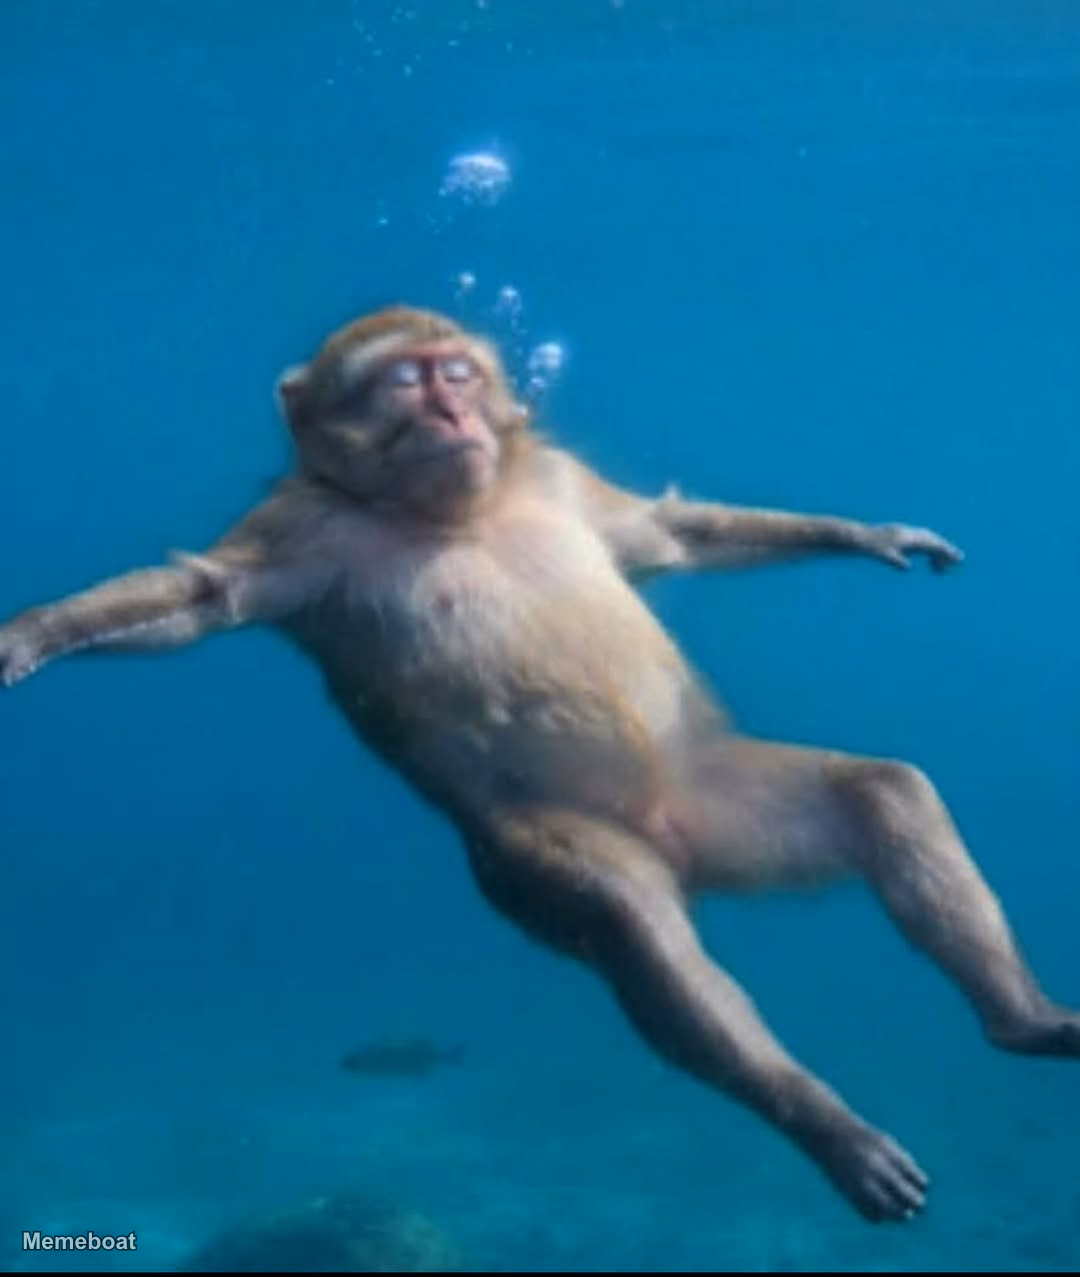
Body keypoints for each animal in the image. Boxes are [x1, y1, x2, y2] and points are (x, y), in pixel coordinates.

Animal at [1, 303, 1077, 1225]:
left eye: (457, 373)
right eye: (402, 380)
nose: (450, 410)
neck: (454, 511)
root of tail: (678, 838)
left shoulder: (554, 476)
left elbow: (668, 533)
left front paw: (872, 535)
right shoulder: (297, 530)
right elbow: (198, 598)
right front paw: (34, 632)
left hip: (713, 793)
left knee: (882, 790)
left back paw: (1022, 1021)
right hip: (528, 853)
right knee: (625, 914)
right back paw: (827, 1121)